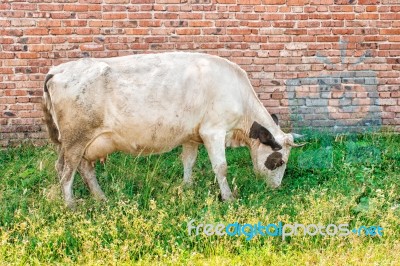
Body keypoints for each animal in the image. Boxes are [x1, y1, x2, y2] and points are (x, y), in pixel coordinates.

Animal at [43, 52, 304, 208]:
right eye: (279, 161)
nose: (276, 188)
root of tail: (58, 69)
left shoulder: (193, 135)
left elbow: (188, 161)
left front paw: (187, 187)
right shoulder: (213, 131)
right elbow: (221, 167)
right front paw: (229, 198)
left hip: (80, 142)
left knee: (83, 169)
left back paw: (101, 197)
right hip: (75, 140)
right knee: (65, 171)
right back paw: (70, 205)